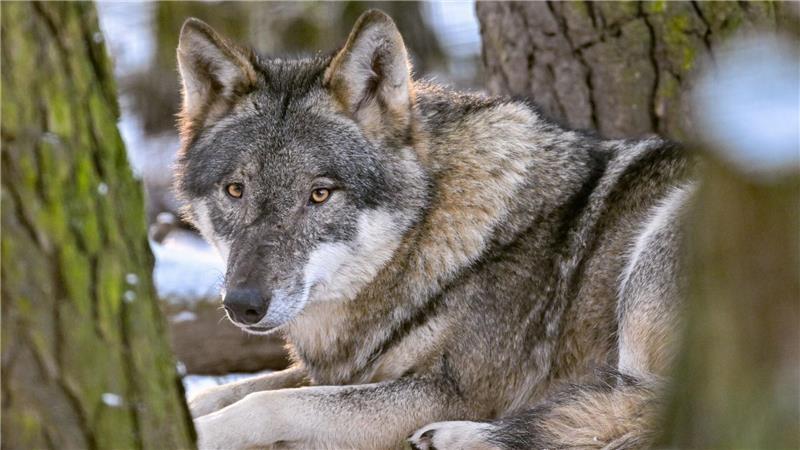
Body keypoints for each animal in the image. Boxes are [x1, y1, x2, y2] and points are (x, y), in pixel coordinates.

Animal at [175, 10, 694, 450]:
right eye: (235, 190)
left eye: (319, 194)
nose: (242, 304)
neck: (425, 237)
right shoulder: (352, 371)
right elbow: (222, 393)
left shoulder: (451, 391)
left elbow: (267, 403)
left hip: (658, 247)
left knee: (641, 409)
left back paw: (457, 438)